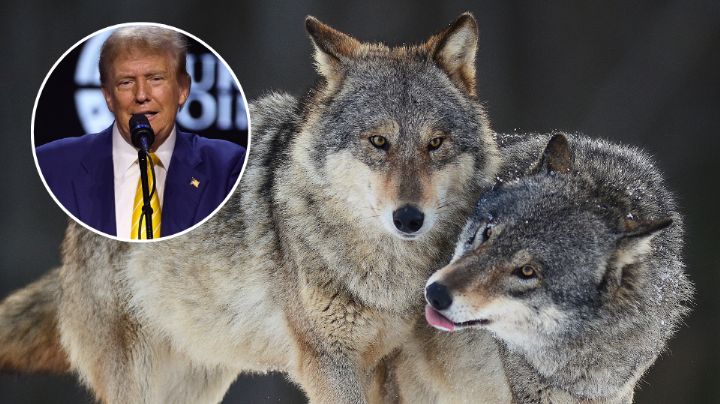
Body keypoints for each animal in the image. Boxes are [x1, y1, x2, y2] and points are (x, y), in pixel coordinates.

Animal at [0, 13, 501, 403]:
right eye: (378, 142)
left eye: (435, 143)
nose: (409, 218)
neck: (385, 269)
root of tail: (69, 244)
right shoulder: (328, 361)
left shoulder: (385, 364)